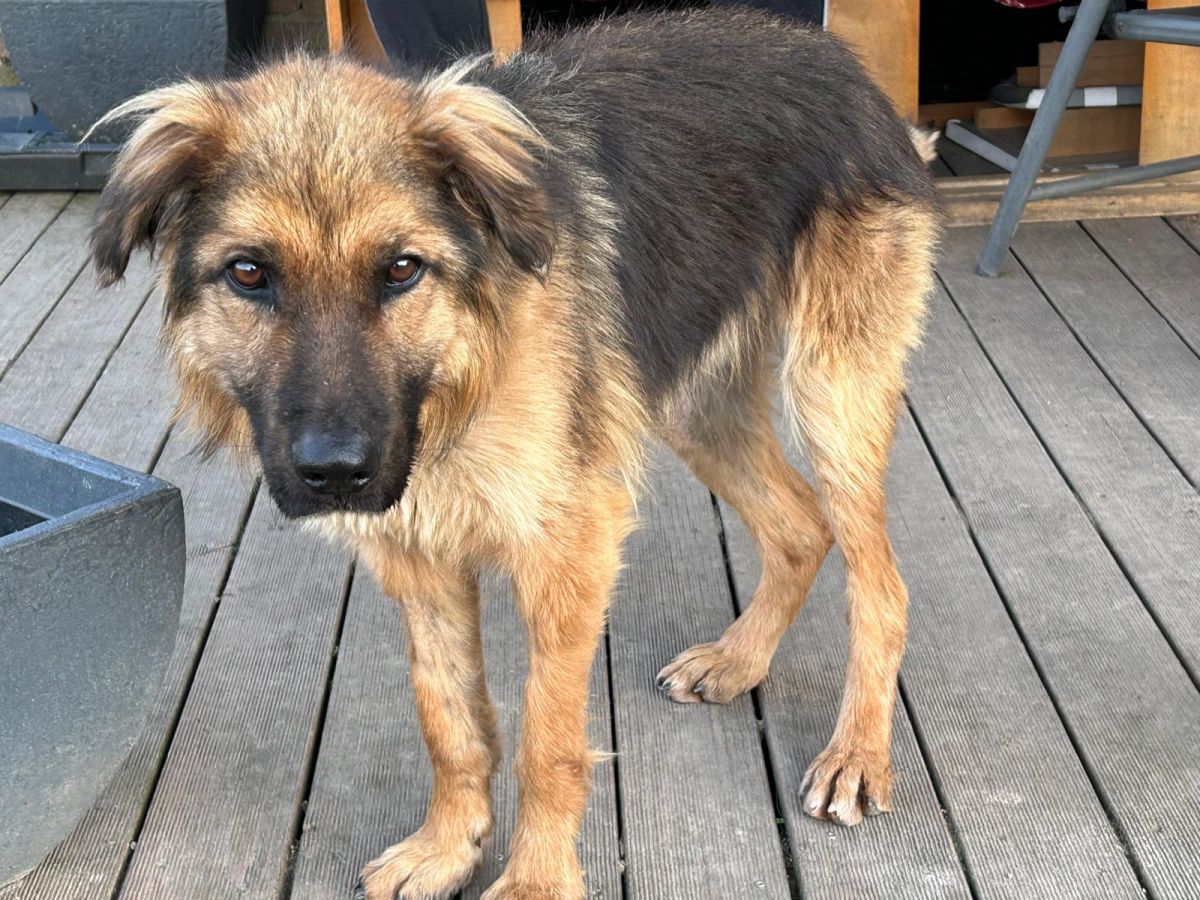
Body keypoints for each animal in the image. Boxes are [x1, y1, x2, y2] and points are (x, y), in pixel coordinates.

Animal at [91, 8, 939, 898]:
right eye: (249, 273)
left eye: (401, 269)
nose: (335, 473)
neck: (462, 372)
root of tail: (836, 59)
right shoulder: (419, 557)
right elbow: (450, 722)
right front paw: (449, 845)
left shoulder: (568, 554)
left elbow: (547, 741)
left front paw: (535, 879)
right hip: (697, 404)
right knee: (801, 527)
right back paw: (741, 659)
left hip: (831, 394)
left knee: (880, 582)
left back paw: (857, 751)